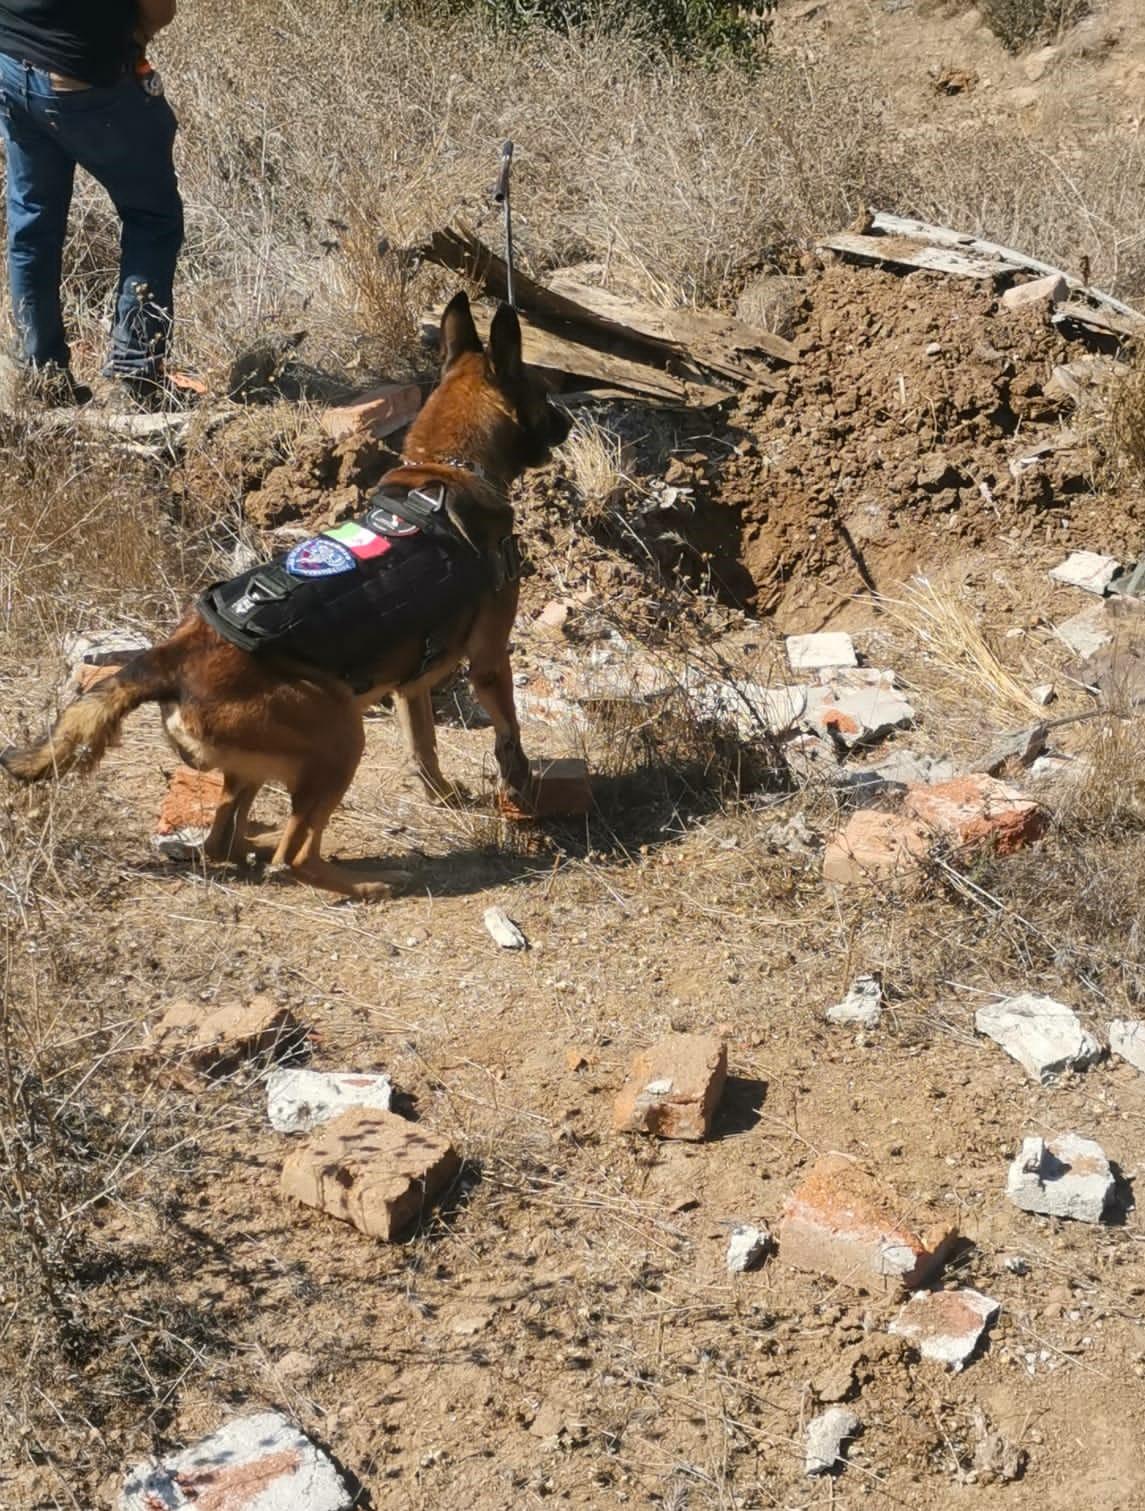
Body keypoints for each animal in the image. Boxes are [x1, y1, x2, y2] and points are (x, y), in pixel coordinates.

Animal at [0, 291, 574, 894]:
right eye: (542, 394)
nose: (567, 422)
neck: (446, 468)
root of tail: (168, 659)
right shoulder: (489, 661)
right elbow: (508, 730)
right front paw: (518, 782)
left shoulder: (410, 688)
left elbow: (424, 750)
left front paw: (444, 797)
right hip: (341, 731)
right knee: (294, 856)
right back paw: (365, 881)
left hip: (262, 762)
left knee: (223, 840)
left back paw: (252, 845)